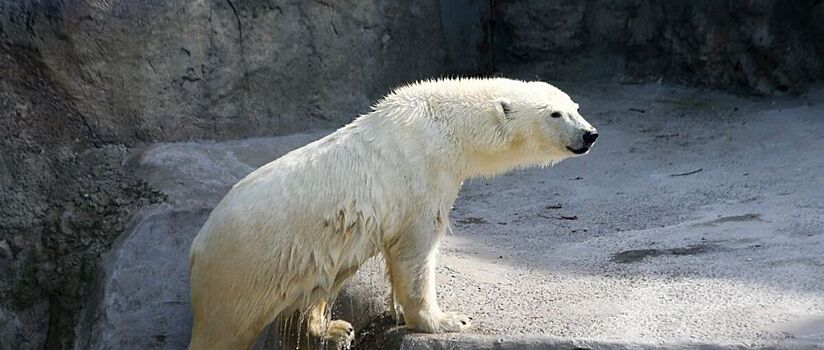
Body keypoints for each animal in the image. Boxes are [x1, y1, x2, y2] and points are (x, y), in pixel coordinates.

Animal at [188, 78, 600, 348]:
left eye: (576, 108)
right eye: (555, 114)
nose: (590, 134)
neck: (444, 126)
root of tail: (197, 246)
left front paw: (399, 312)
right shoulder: (421, 178)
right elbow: (416, 249)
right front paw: (446, 319)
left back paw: (335, 329)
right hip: (241, 271)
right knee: (221, 331)